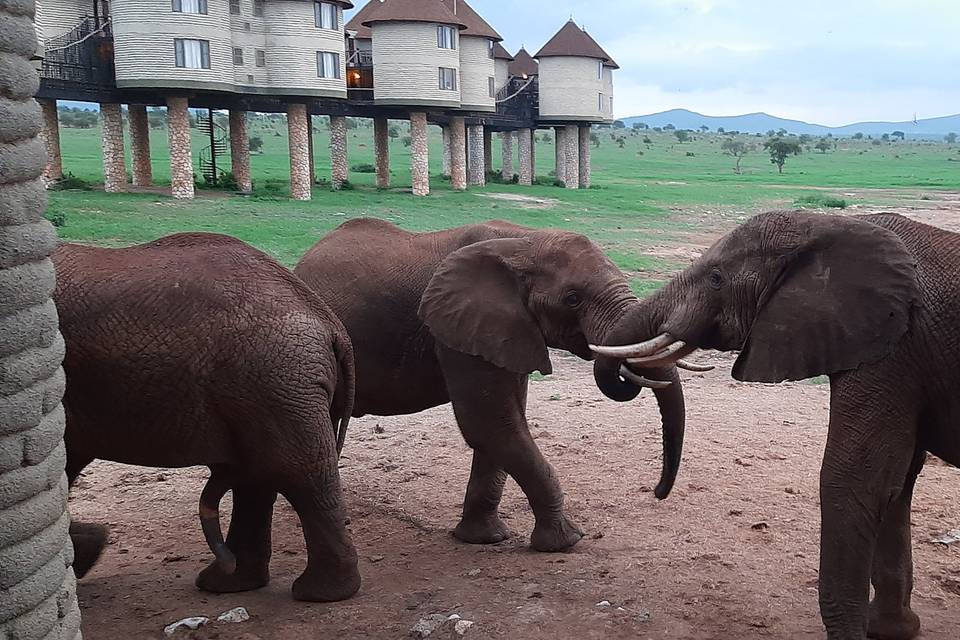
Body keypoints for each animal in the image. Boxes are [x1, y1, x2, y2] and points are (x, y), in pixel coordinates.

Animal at [53, 232, 360, 604]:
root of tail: (328, 321)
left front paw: (86, 553)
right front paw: (88, 551)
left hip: (274, 378)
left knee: (294, 472)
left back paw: (317, 594)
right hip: (271, 387)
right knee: (258, 477)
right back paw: (228, 581)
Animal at [294, 218, 688, 552]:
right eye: (573, 299)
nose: (657, 492)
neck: (525, 241)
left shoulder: (503, 331)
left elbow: (504, 424)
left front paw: (483, 539)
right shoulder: (455, 326)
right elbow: (490, 423)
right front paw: (566, 542)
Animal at [596, 211, 956, 640]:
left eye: (716, 278)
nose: (657, 492)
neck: (828, 226)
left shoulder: (893, 349)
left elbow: (854, 481)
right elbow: (897, 484)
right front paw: (890, 630)